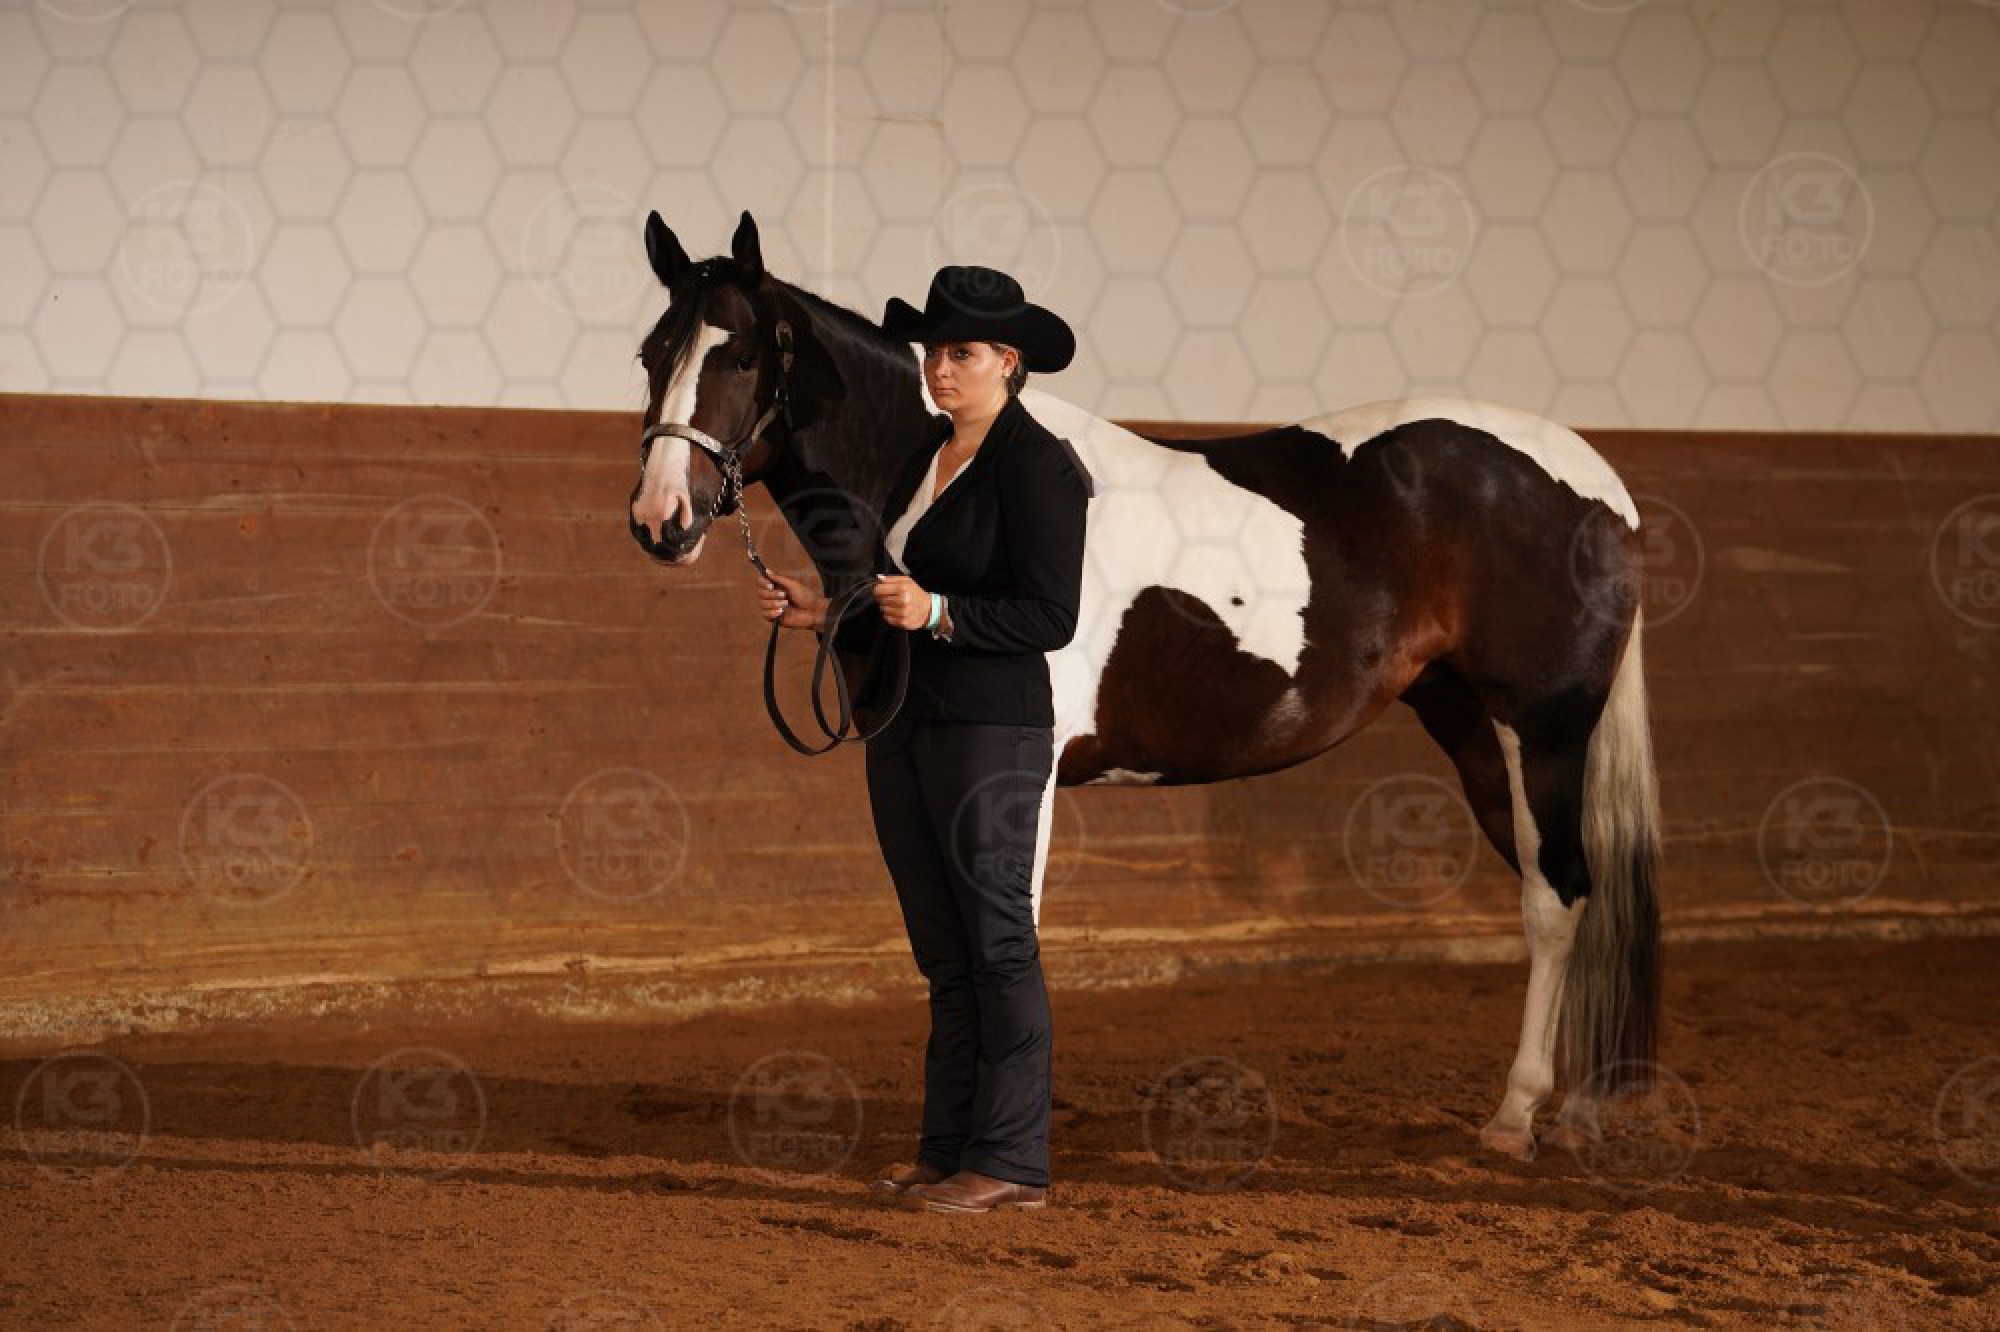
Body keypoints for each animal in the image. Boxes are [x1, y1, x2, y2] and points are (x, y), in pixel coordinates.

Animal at [626, 209, 1661, 1164]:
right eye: (650, 354)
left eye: (743, 358)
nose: (660, 518)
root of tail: (1600, 479)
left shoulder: (1022, 776)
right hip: (1472, 729)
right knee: (1571, 890)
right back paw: (1575, 1109)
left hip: (1543, 731)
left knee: (1558, 899)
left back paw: (1518, 1117)